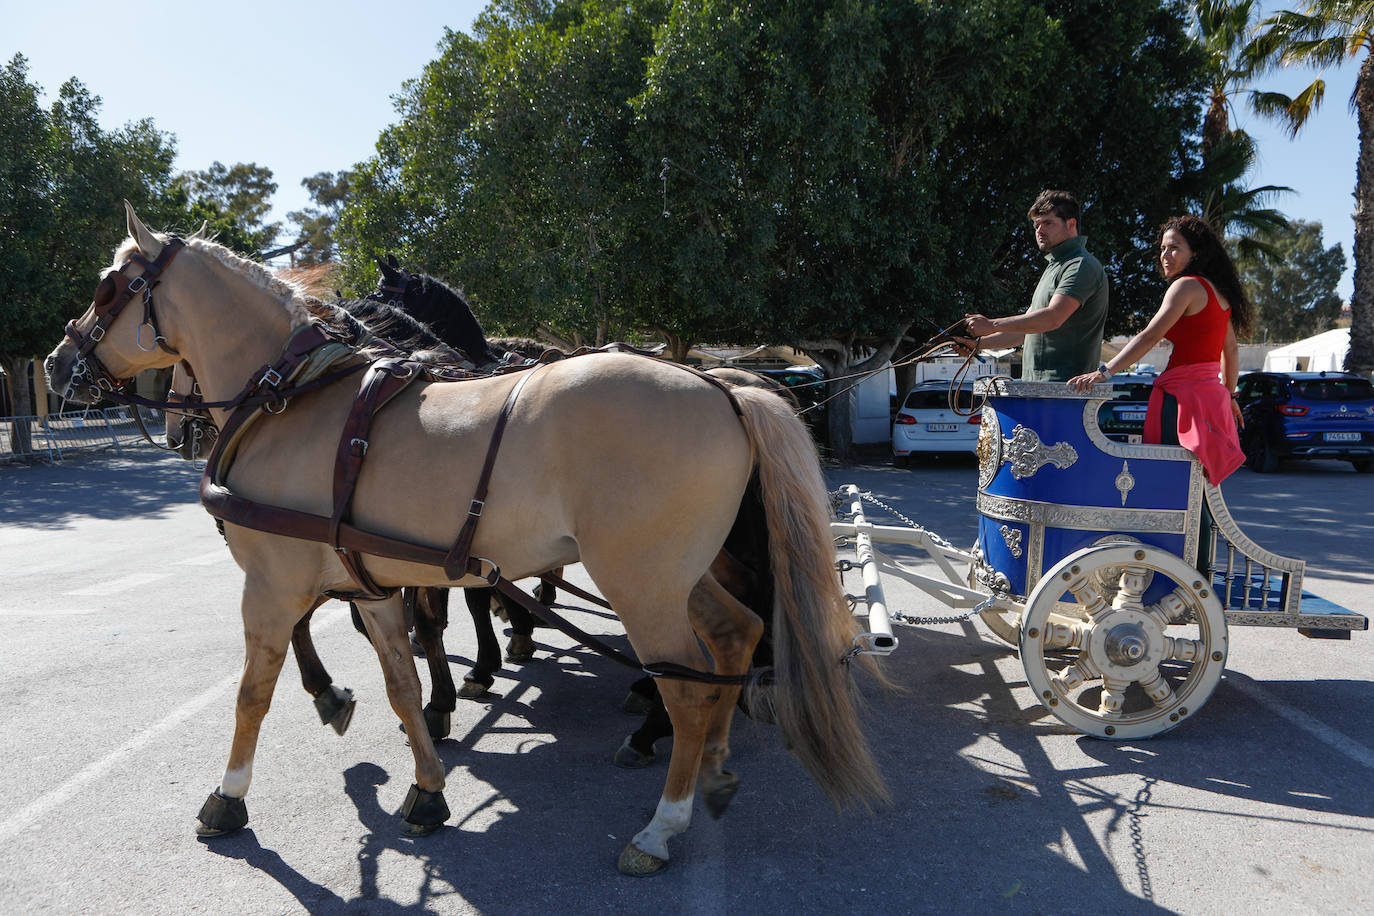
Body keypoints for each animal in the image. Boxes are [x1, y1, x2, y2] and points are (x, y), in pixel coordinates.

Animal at [45, 204, 887, 874]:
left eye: (109, 288)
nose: (57, 363)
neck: (297, 401)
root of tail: (724, 388)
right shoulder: (367, 584)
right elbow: (401, 681)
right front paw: (426, 785)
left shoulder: (274, 584)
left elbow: (255, 691)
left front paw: (230, 795)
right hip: (683, 574)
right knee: (732, 637)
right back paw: (710, 764)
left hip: (640, 583)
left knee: (685, 683)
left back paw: (661, 822)